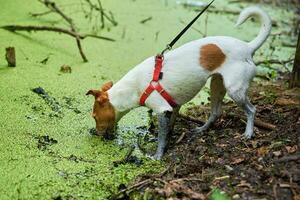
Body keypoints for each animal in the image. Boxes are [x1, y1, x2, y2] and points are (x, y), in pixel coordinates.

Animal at [86, 5, 272, 159]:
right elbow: (168, 129)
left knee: (251, 110)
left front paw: (158, 156)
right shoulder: (173, 107)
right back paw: (202, 129)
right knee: (216, 112)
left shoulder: (162, 110)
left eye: (94, 116)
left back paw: (248, 132)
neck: (133, 88)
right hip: (217, 85)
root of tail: (248, 47)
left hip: (235, 90)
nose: (94, 133)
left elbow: (162, 136)